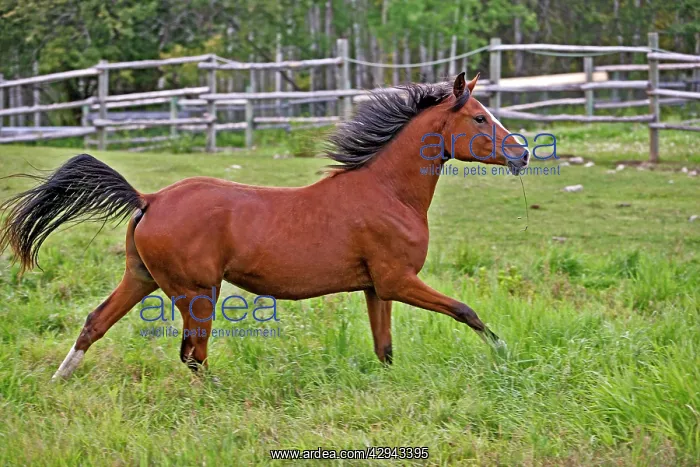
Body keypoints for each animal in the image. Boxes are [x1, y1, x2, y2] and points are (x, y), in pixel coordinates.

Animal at [0, 73, 529, 380]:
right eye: (479, 118)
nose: (522, 154)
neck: (387, 193)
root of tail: (149, 199)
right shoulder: (398, 280)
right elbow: (465, 310)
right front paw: (504, 352)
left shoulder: (377, 287)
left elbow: (385, 350)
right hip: (197, 292)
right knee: (192, 353)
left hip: (142, 277)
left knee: (96, 323)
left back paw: (59, 381)